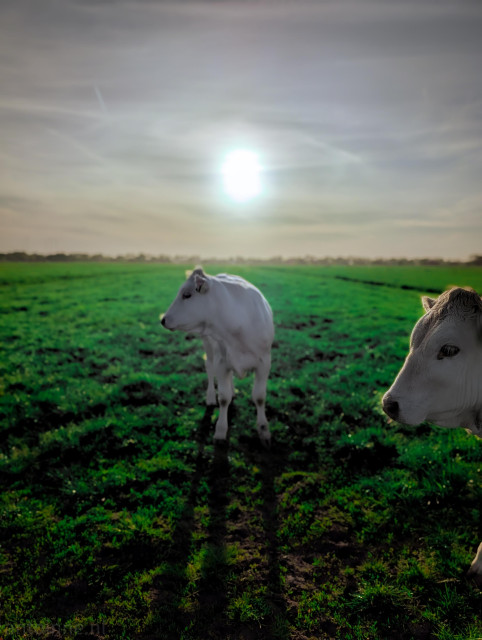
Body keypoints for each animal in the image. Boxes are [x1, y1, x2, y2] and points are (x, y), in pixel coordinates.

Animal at [161, 268, 274, 446]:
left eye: (187, 295)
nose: (163, 320)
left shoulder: (264, 361)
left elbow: (260, 397)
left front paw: (264, 430)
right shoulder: (221, 362)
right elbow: (223, 398)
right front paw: (220, 430)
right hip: (208, 345)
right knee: (209, 367)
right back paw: (210, 397)